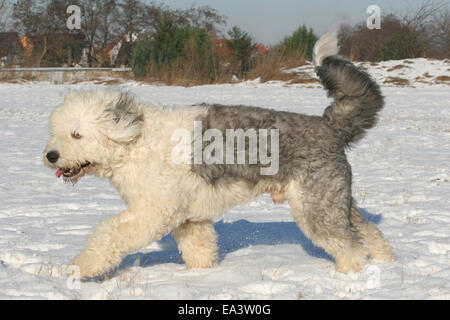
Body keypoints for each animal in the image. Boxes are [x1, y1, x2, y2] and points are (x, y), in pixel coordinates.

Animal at [43, 31, 394, 278]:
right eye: (56, 132)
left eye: (76, 134)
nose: (51, 156)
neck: (135, 141)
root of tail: (328, 126)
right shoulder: (190, 217)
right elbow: (198, 248)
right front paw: (202, 277)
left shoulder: (153, 211)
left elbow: (108, 235)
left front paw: (80, 268)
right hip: (334, 199)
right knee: (366, 231)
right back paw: (386, 260)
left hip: (316, 207)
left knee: (350, 245)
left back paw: (349, 275)